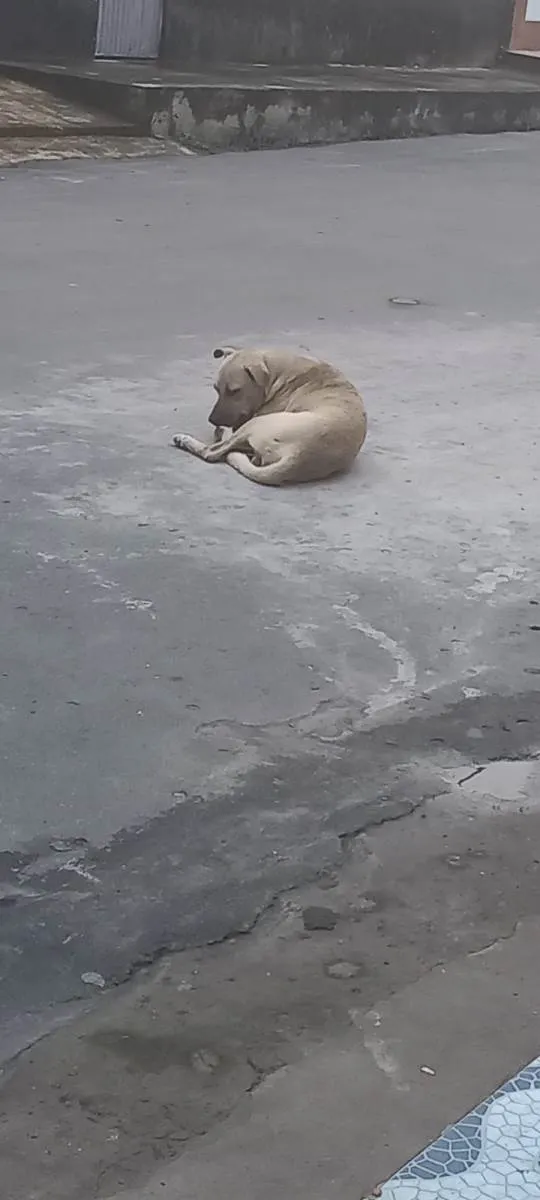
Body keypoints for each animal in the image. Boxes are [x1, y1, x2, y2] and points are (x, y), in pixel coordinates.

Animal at [172, 345, 367, 484]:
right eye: (216, 389)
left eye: (234, 391)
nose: (212, 420)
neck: (279, 374)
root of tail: (299, 455)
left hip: (258, 423)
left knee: (212, 452)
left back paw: (194, 438)